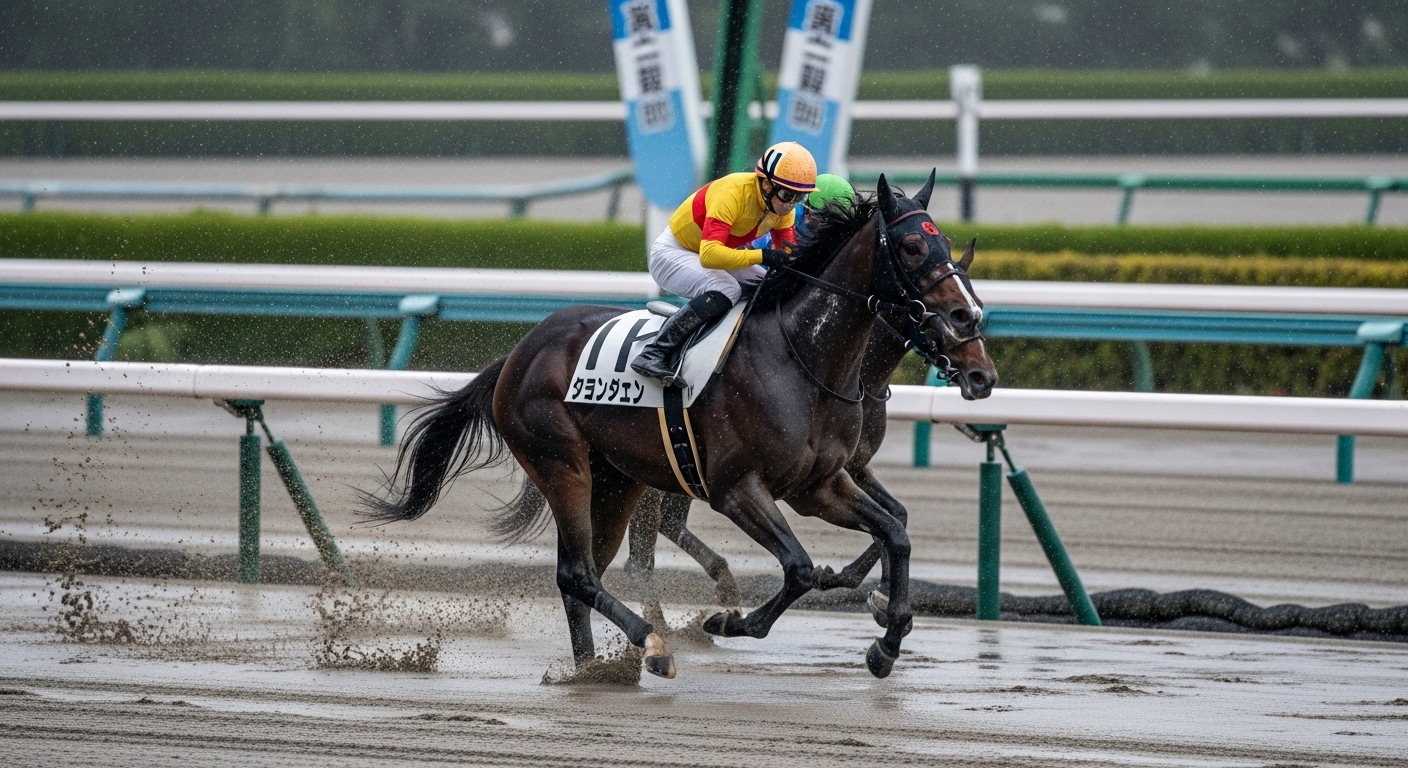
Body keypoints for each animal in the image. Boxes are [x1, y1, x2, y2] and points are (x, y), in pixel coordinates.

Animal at [365, 172, 986, 680]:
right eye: (911, 245)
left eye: (947, 244)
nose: (969, 319)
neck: (801, 357)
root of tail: (519, 353)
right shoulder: (737, 489)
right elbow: (800, 568)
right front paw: (727, 621)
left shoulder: (820, 485)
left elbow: (895, 533)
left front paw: (887, 640)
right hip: (561, 463)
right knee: (580, 573)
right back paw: (652, 646)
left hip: (617, 479)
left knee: (586, 569)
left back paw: (592, 667)